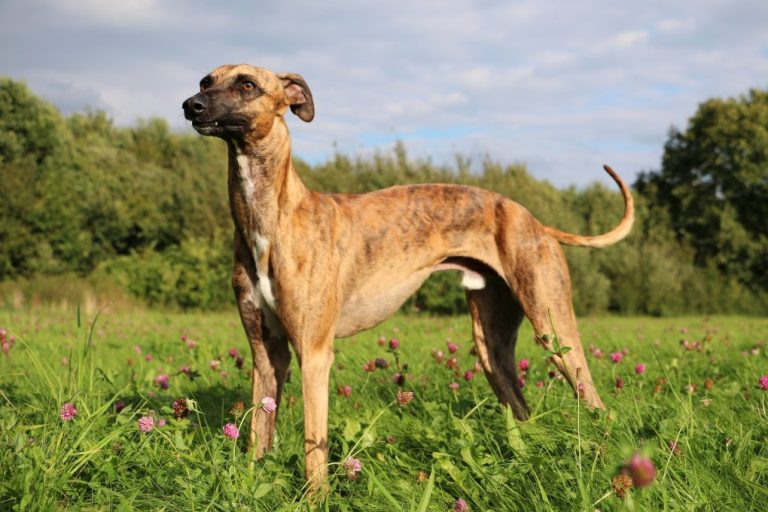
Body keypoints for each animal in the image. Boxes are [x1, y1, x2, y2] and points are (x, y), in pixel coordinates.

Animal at [183, 64, 632, 492]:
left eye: (247, 84)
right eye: (205, 80)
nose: (191, 105)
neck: (272, 217)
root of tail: (535, 221)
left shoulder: (314, 353)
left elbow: (314, 449)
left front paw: (314, 498)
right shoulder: (265, 353)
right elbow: (258, 438)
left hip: (554, 328)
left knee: (595, 401)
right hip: (492, 344)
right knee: (522, 411)